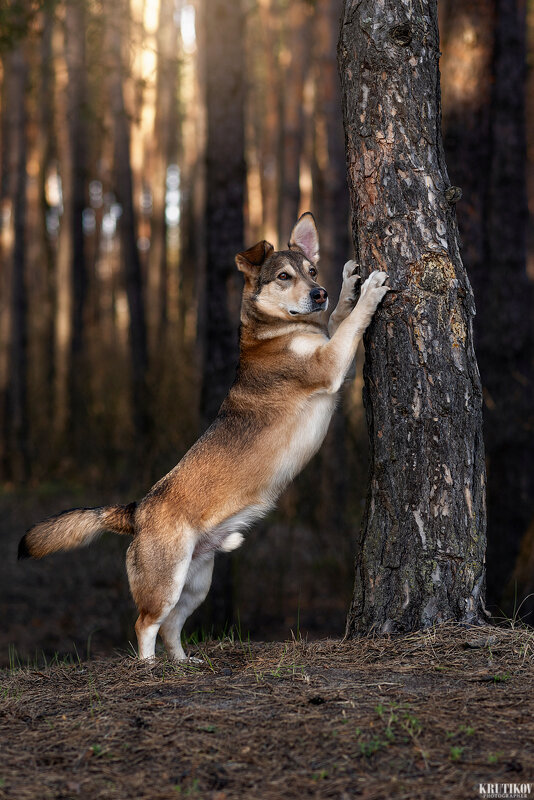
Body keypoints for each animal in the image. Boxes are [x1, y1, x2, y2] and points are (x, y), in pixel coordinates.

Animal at [19, 214, 390, 664]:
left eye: (313, 272)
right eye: (284, 277)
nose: (319, 293)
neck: (278, 330)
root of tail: (137, 510)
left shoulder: (335, 360)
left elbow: (339, 319)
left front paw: (350, 284)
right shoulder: (330, 364)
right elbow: (350, 324)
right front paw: (369, 291)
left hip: (197, 584)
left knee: (171, 626)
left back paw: (182, 663)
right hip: (166, 583)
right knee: (144, 624)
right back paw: (150, 667)